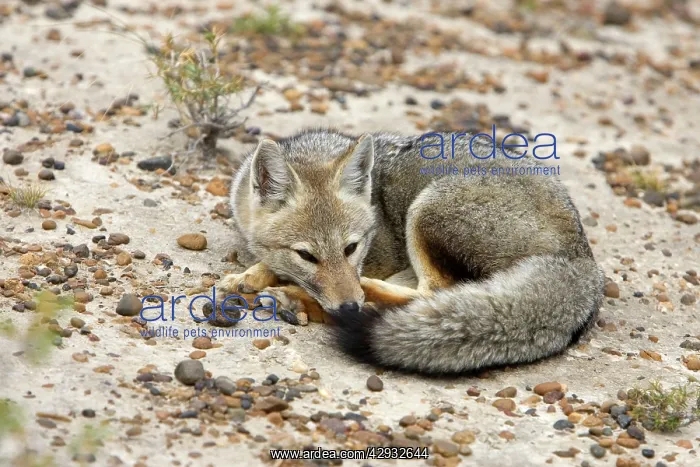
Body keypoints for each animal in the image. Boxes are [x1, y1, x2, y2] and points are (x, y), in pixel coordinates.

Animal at [221, 128, 605, 374]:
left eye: (351, 248)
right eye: (308, 256)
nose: (348, 306)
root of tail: (583, 259)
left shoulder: (381, 258)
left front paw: (264, 277)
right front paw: (252, 274)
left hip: (427, 208)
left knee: (433, 291)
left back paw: (306, 300)